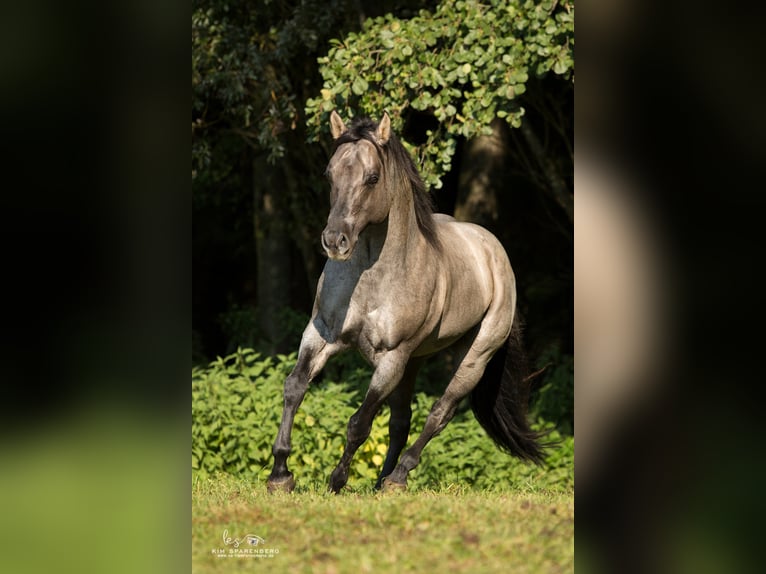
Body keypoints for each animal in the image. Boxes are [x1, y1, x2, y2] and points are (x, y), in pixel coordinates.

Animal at [267, 111, 545, 493]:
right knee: (401, 420)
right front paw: (280, 475)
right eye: (329, 173)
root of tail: (493, 252)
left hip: (473, 358)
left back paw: (397, 478)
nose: (334, 241)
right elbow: (295, 388)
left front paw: (336, 481)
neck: (371, 278)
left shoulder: (390, 359)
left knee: (439, 414)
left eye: (372, 178)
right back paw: (382, 480)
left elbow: (360, 422)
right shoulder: (321, 334)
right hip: (413, 363)